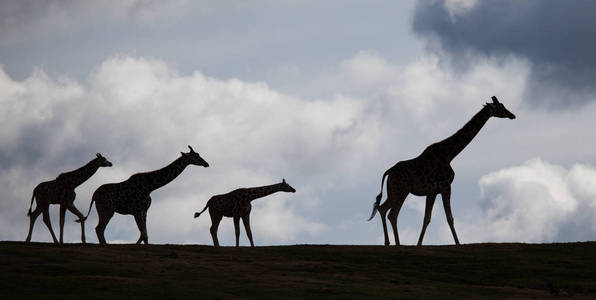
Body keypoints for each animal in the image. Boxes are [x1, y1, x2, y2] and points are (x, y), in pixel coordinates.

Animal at [366, 96, 516, 246]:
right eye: (501, 107)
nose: (512, 115)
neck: (450, 154)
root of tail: (388, 172)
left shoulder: (432, 192)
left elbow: (427, 218)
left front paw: (419, 244)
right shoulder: (446, 186)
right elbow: (450, 218)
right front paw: (458, 243)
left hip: (393, 191)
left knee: (382, 208)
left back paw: (387, 242)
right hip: (402, 190)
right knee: (392, 214)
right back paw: (398, 244)